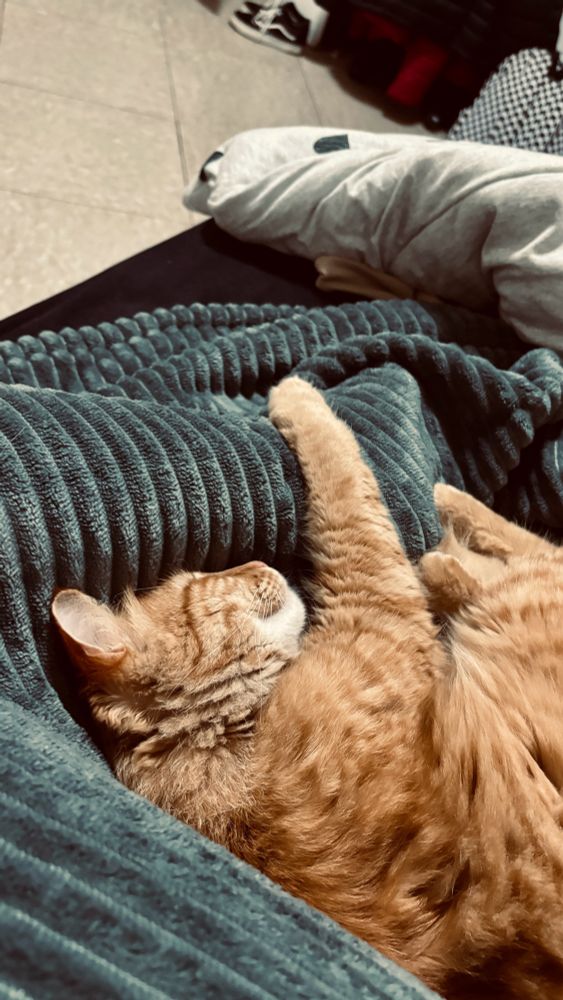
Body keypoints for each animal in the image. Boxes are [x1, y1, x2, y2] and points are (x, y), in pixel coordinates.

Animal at [52, 376, 563, 1000]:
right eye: (200, 580)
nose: (259, 563)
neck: (217, 747)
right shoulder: (376, 597)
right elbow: (343, 474)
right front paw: (296, 394)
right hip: (510, 608)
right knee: (525, 553)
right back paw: (444, 530)